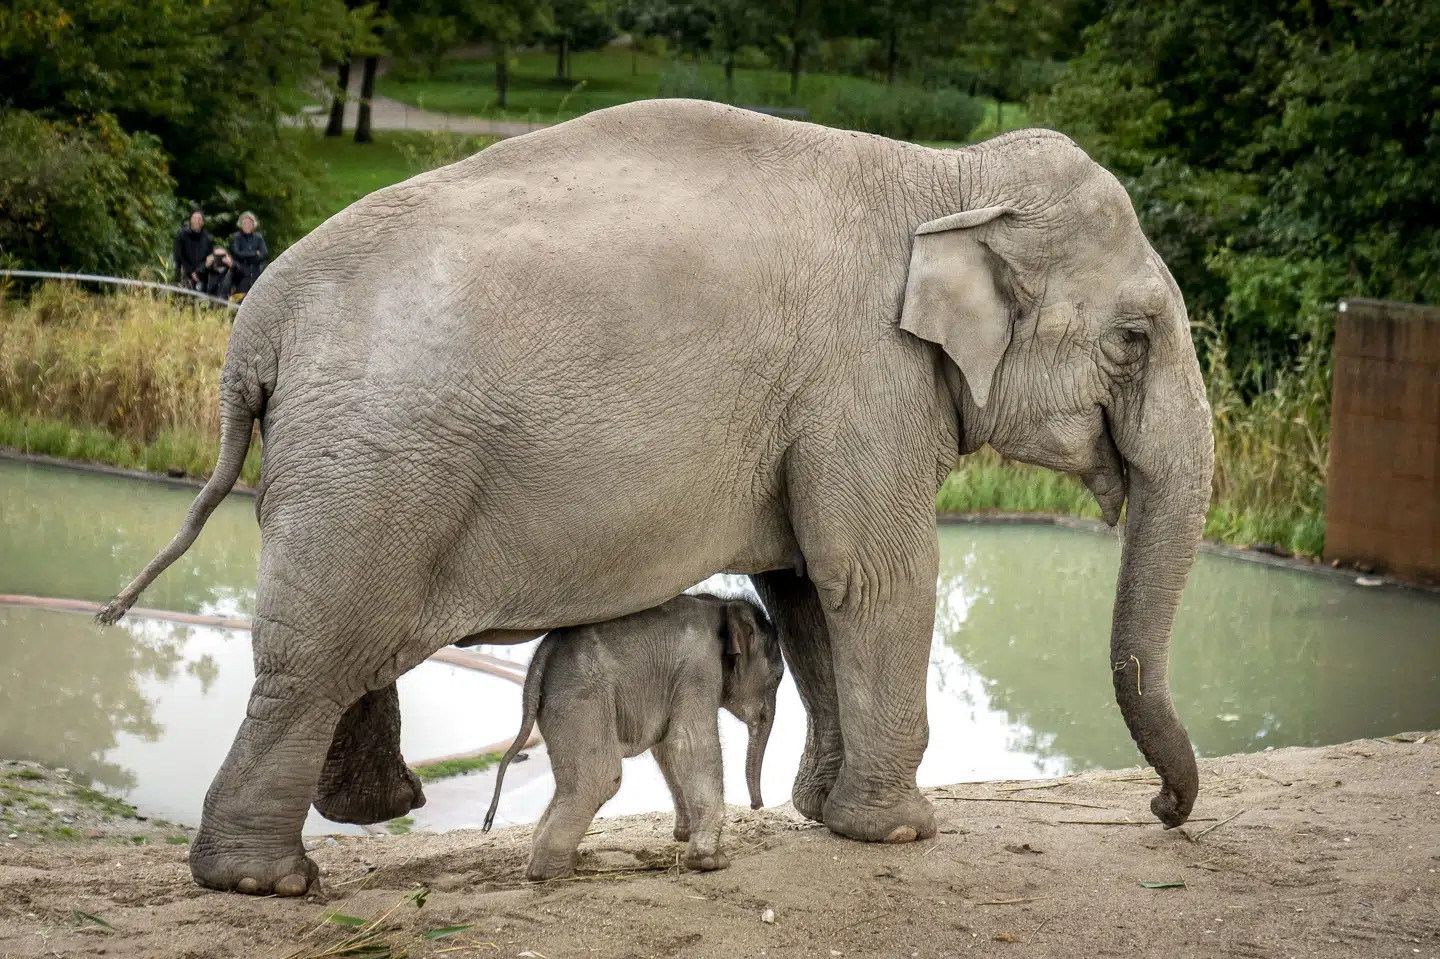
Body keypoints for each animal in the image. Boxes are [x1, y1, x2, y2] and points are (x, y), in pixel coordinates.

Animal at [482, 592, 784, 880]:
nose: (757, 805)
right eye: (778, 678)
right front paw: (711, 862)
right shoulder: (699, 668)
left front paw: (684, 836)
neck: (721, 605)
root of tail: (539, 659)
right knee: (602, 778)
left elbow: (666, 747)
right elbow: (689, 743)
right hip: (581, 698)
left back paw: (556, 863)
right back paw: (549, 873)